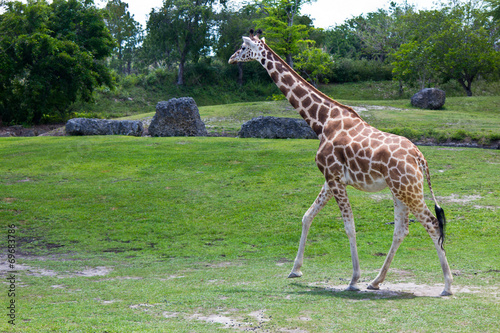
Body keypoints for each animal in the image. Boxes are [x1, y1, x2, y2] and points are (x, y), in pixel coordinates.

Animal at [230, 30, 454, 296]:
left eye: (244, 47)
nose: (231, 58)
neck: (322, 121)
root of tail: (420, 158)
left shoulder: (335, 177)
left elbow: (349, 226)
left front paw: (353, 279)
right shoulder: (330, 178)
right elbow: (307, 216)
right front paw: (296, 269)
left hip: (408, 189)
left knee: (431, 223)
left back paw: (447, 285)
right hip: (399, 189)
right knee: (402, 229)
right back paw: (376, 281)